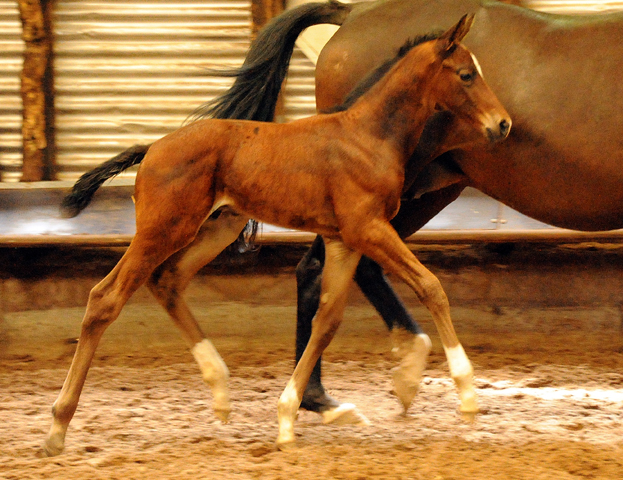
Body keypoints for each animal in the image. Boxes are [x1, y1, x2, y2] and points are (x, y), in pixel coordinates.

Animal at [45, 15, 512, 454]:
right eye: (466, 75)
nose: (504, 124)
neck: (369, 135)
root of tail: (152, 149)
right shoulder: (368, 229)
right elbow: (431, 286)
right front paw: (468, 397)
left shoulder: (343, 240)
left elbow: (327, 321)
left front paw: (287, 419)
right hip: (162, 230)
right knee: (105, 298)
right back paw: (57, 428)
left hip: (218, 226)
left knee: (167, 281)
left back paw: (220, 391)